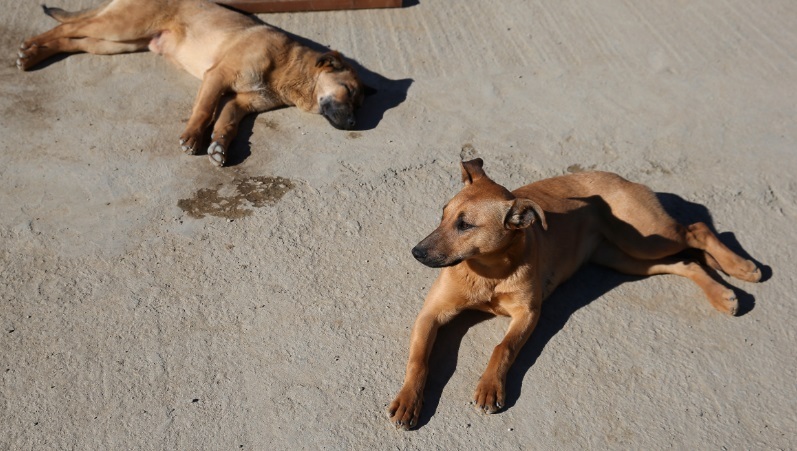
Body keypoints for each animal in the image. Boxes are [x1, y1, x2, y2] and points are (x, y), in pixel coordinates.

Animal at [16, 0, 364, 168]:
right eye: (347, 91)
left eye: (358, 102)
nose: (353, 124)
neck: (288, 67)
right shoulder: (217, 77)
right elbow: (205, 109)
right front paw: (193, 137)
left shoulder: (240, 104)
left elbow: (226, 124)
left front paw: (219, 147)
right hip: (120, 28)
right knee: (70, 28)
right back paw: (30, 48)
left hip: (117, 44)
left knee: (73, 40)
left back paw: (34, 55)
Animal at [388, 159, 760, 430]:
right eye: (444, 215)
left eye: (465, 225)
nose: (415, 252)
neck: (489, 270)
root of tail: (623, 179)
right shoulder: (431, 313)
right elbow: (419, 359)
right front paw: (408, 401)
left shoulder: (529, 313)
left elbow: (502, 347)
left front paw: (490, 386)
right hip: (627, 258)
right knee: (687, 261)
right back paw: (722, 293)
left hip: (646, 239)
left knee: (698, 229)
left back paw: (741, 266)